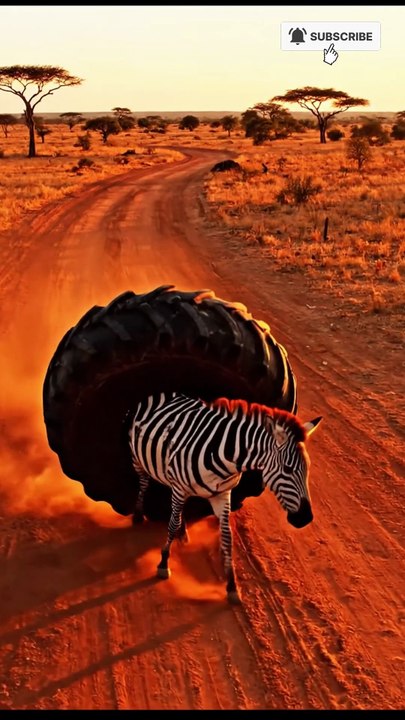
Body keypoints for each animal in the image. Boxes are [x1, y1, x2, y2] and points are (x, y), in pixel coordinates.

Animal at [128, 392, 322, 603]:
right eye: (287, 469)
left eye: (308, 468)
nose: (305, 518)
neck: (223, 456)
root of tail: (163, 393)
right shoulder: (180, 488)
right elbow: (171, 524)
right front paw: (163, 563)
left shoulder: (222, 495)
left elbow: (227, 537)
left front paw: (231, 586)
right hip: (139, 460)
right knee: (144, 483)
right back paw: (138, 515)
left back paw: (183, 532)